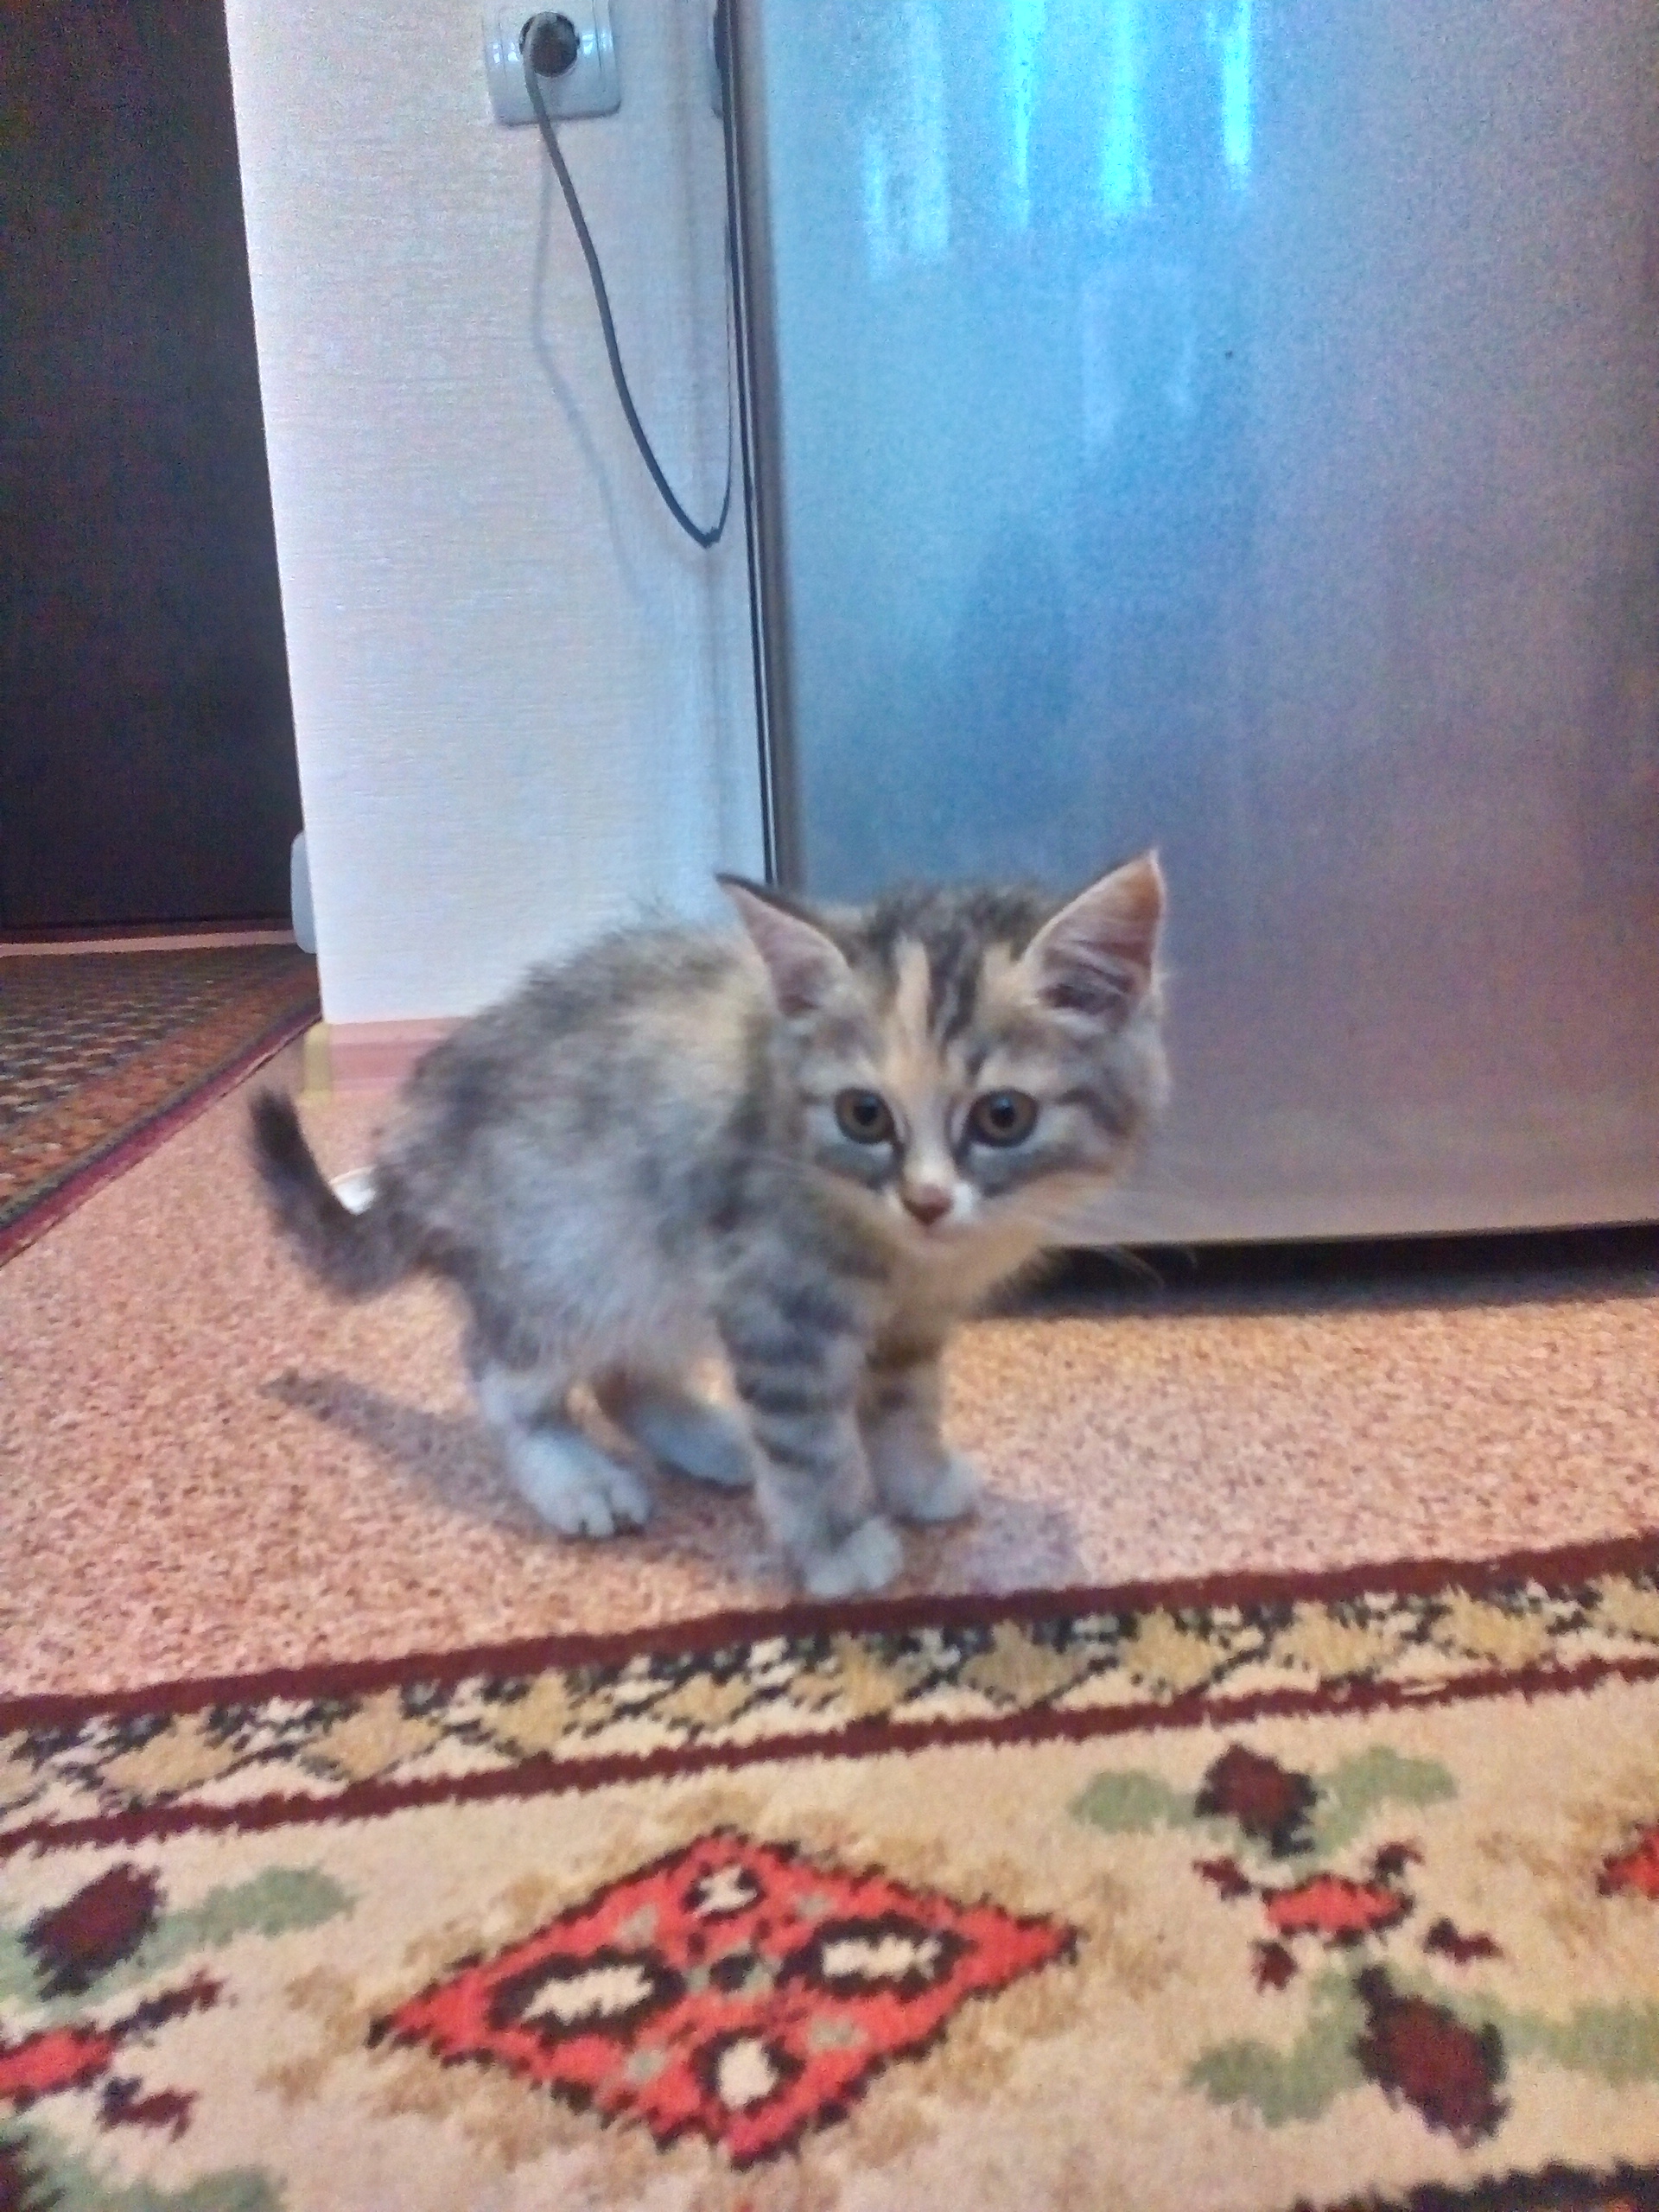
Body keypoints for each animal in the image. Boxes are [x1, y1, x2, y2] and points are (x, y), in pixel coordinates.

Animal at [250, 853, 1167, 1597]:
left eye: (1003, 1117)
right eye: (865, 1115)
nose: (927, 1201)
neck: (900, 1256)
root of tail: (409, 1152)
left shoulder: (910, 1320)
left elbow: (904, 1401)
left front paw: (916, 1478)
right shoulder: (773, 1300)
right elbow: (808, 1440)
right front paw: (837, 1545)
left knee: (622, 1375)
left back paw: (710, 1441)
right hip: (568, 1252)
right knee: (501, 1373)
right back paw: (575, 1479)